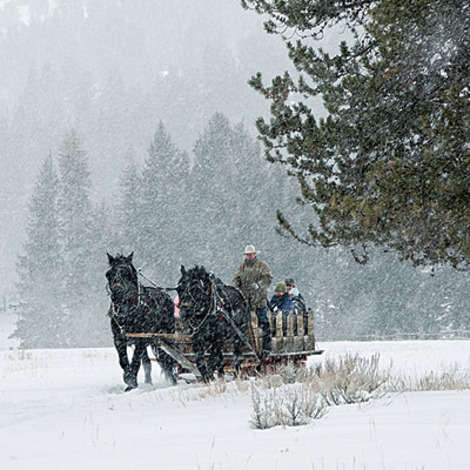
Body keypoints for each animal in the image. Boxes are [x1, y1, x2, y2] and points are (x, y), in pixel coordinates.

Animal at [105, 252, 177, 392]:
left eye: (127, 272)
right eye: (109, 273)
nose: (116, 294)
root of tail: (166, 295)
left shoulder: (141, 339)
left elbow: (135, 361)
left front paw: (131, 381)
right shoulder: (119, 339)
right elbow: (123, 361)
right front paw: (129, 380)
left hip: (166, 337)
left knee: (168, 360)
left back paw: (173, 382)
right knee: (148, 362)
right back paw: (149, 382)